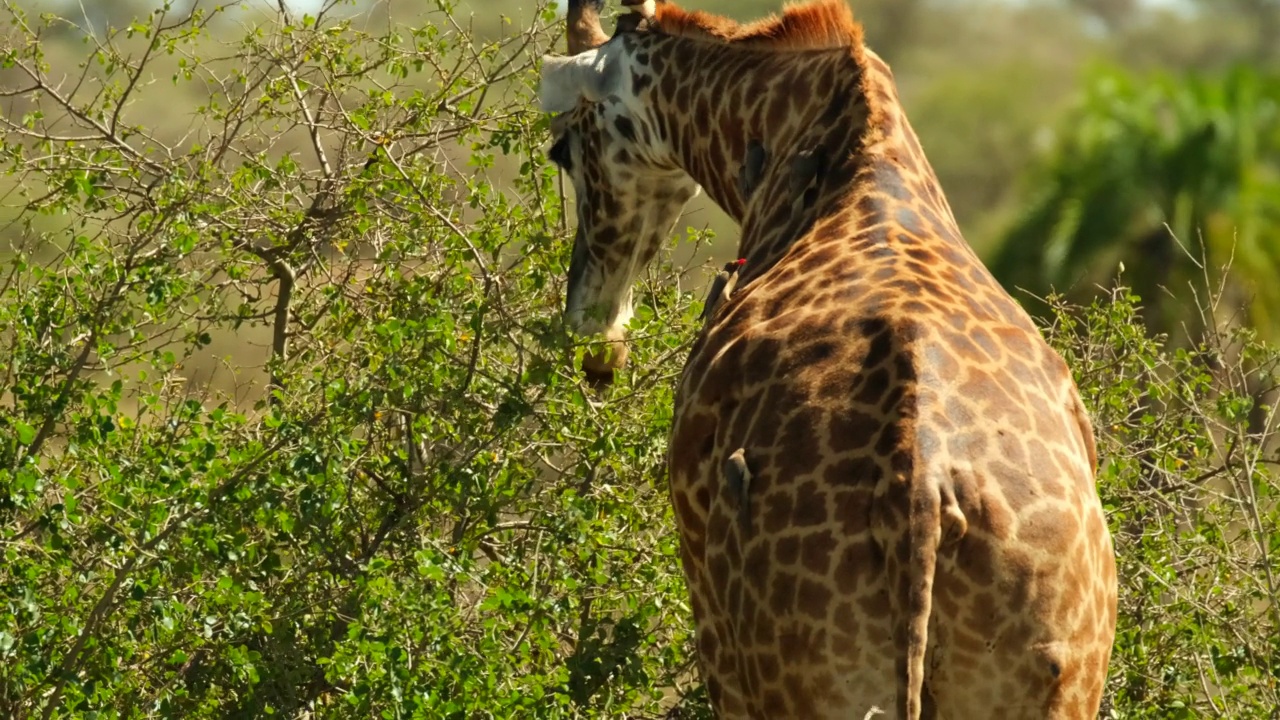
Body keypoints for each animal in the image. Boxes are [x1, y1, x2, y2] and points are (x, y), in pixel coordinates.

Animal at [540, 2, 1121, 712]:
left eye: (564, 148)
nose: (594, 333)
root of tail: (920, 490)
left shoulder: (709, 618)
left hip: (798, 672)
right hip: (1048, 672)